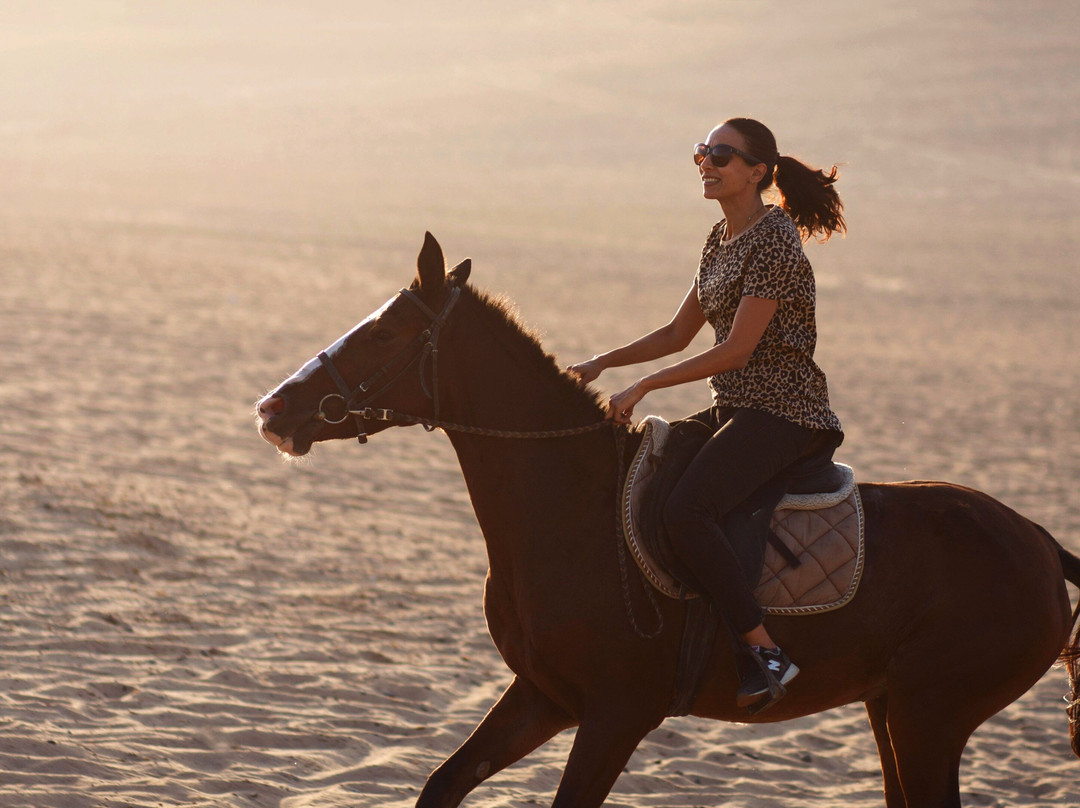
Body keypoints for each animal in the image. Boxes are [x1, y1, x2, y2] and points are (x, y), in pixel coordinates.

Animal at [256, 232, 1080, 807]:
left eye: (384, 335)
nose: (274, 407)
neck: (570, 504)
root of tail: (1040, 545)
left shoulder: (617, 713)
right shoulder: (545, 696)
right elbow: (443, 783)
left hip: (928, 717)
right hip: (893, 711)